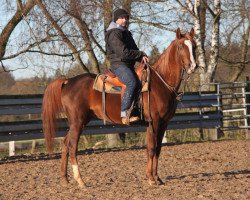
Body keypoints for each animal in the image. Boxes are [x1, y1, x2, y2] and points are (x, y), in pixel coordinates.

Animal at [42, 27, 196, 187]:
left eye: (194, 46)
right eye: (181, 47)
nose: (193, 66)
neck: (160, 83)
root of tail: (68, 81)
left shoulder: (164, 123)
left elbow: (158, 149)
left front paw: (157, 178)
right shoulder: (153, 122)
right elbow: (151, 148)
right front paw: (151, 178)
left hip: (79, 122)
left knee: (65, 144)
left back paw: (64, 178)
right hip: (77, 122)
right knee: (72, 146)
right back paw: (80, 180)